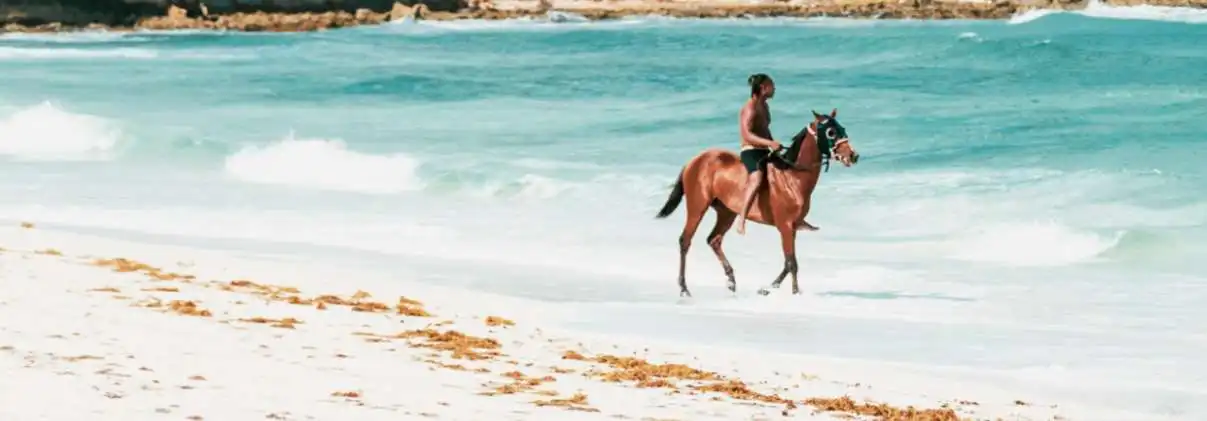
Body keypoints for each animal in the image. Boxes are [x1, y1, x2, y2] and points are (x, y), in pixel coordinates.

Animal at [651, 109, 859, 297]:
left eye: (842, 129)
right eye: (830, 132)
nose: (853, 156)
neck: (792, 176)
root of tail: (694, 161)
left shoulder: (791, 227)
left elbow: (788, 262)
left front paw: (770, 287)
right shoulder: (784, 226)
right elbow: (792, 262)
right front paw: (793, 292)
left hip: (727, 212)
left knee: (714, 240)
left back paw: (731, 281)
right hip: (697, 207)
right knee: (685, 240)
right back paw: (684, 288)